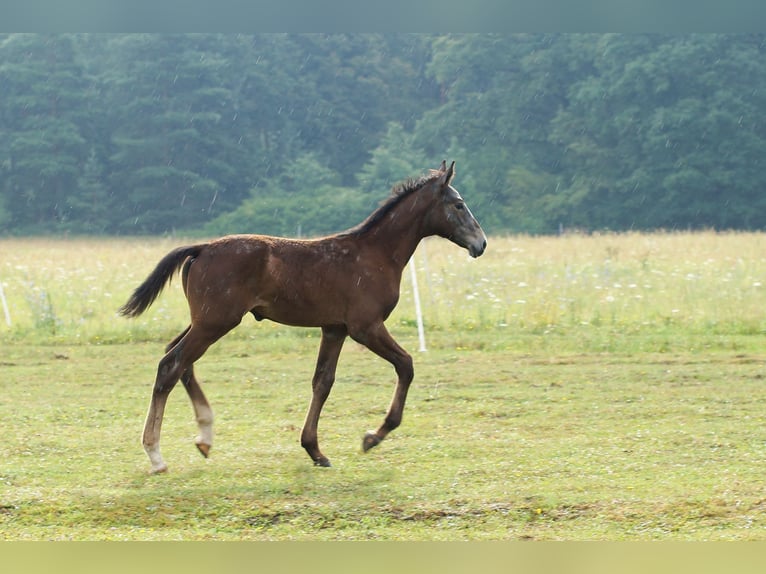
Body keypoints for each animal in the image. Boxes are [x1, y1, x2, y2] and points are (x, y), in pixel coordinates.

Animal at [122, 160, 488, 474]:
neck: (376, 254)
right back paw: (156, 456)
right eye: (458, 204)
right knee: (171, 364)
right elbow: (406, 365)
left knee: (178, 358)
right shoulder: (365, 327)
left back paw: (204, 438)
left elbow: (322, 382)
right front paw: (372, 437)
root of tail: (201, 248)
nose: (480, 243)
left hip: (205, 321)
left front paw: (315, 450)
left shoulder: (335, 328)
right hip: (215, 322)